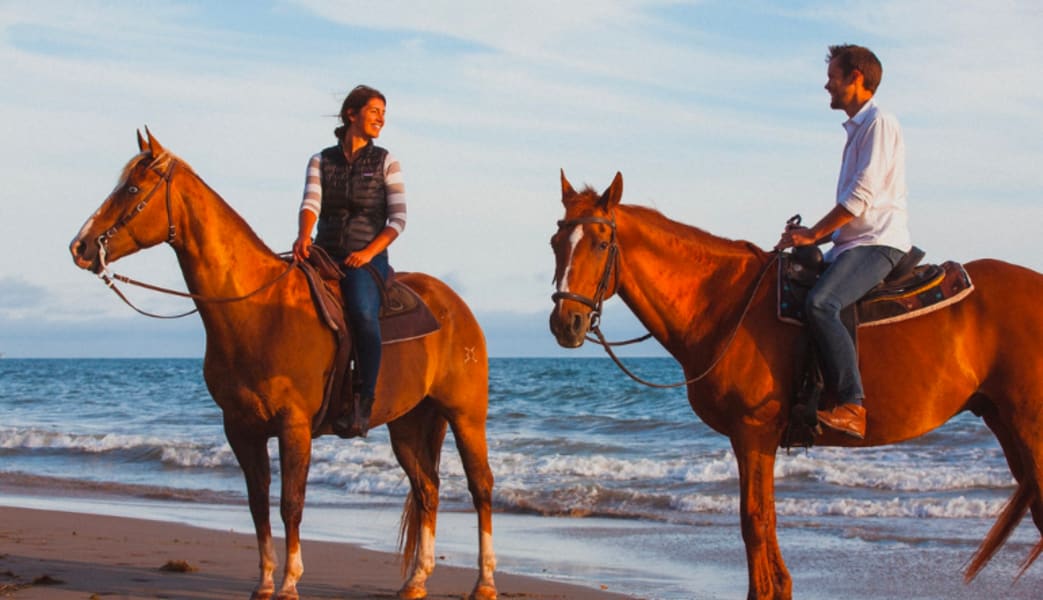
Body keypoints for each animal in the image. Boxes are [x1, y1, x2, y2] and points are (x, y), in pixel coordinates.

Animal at [69, 131, 496, 600]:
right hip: (409, 423)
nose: (80, 246)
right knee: (427, 490)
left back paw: (484, 582)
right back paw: (416, 581)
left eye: (131, 188)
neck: (257, 310)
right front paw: (265, 581)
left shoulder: (294, 426)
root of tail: (456, 306)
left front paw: (290, 582)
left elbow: (291, 503)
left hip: (465, 416)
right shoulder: (241, 429)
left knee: (480, 487)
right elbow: (258, 504)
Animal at [550, 170, 1043, 600]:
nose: (565, 322)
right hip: (1005, 424)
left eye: (600, 243)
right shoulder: (753, 439)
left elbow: (754, 521)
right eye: (556, 243)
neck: (725, 304)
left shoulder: (753, 433)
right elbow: (763, 519)